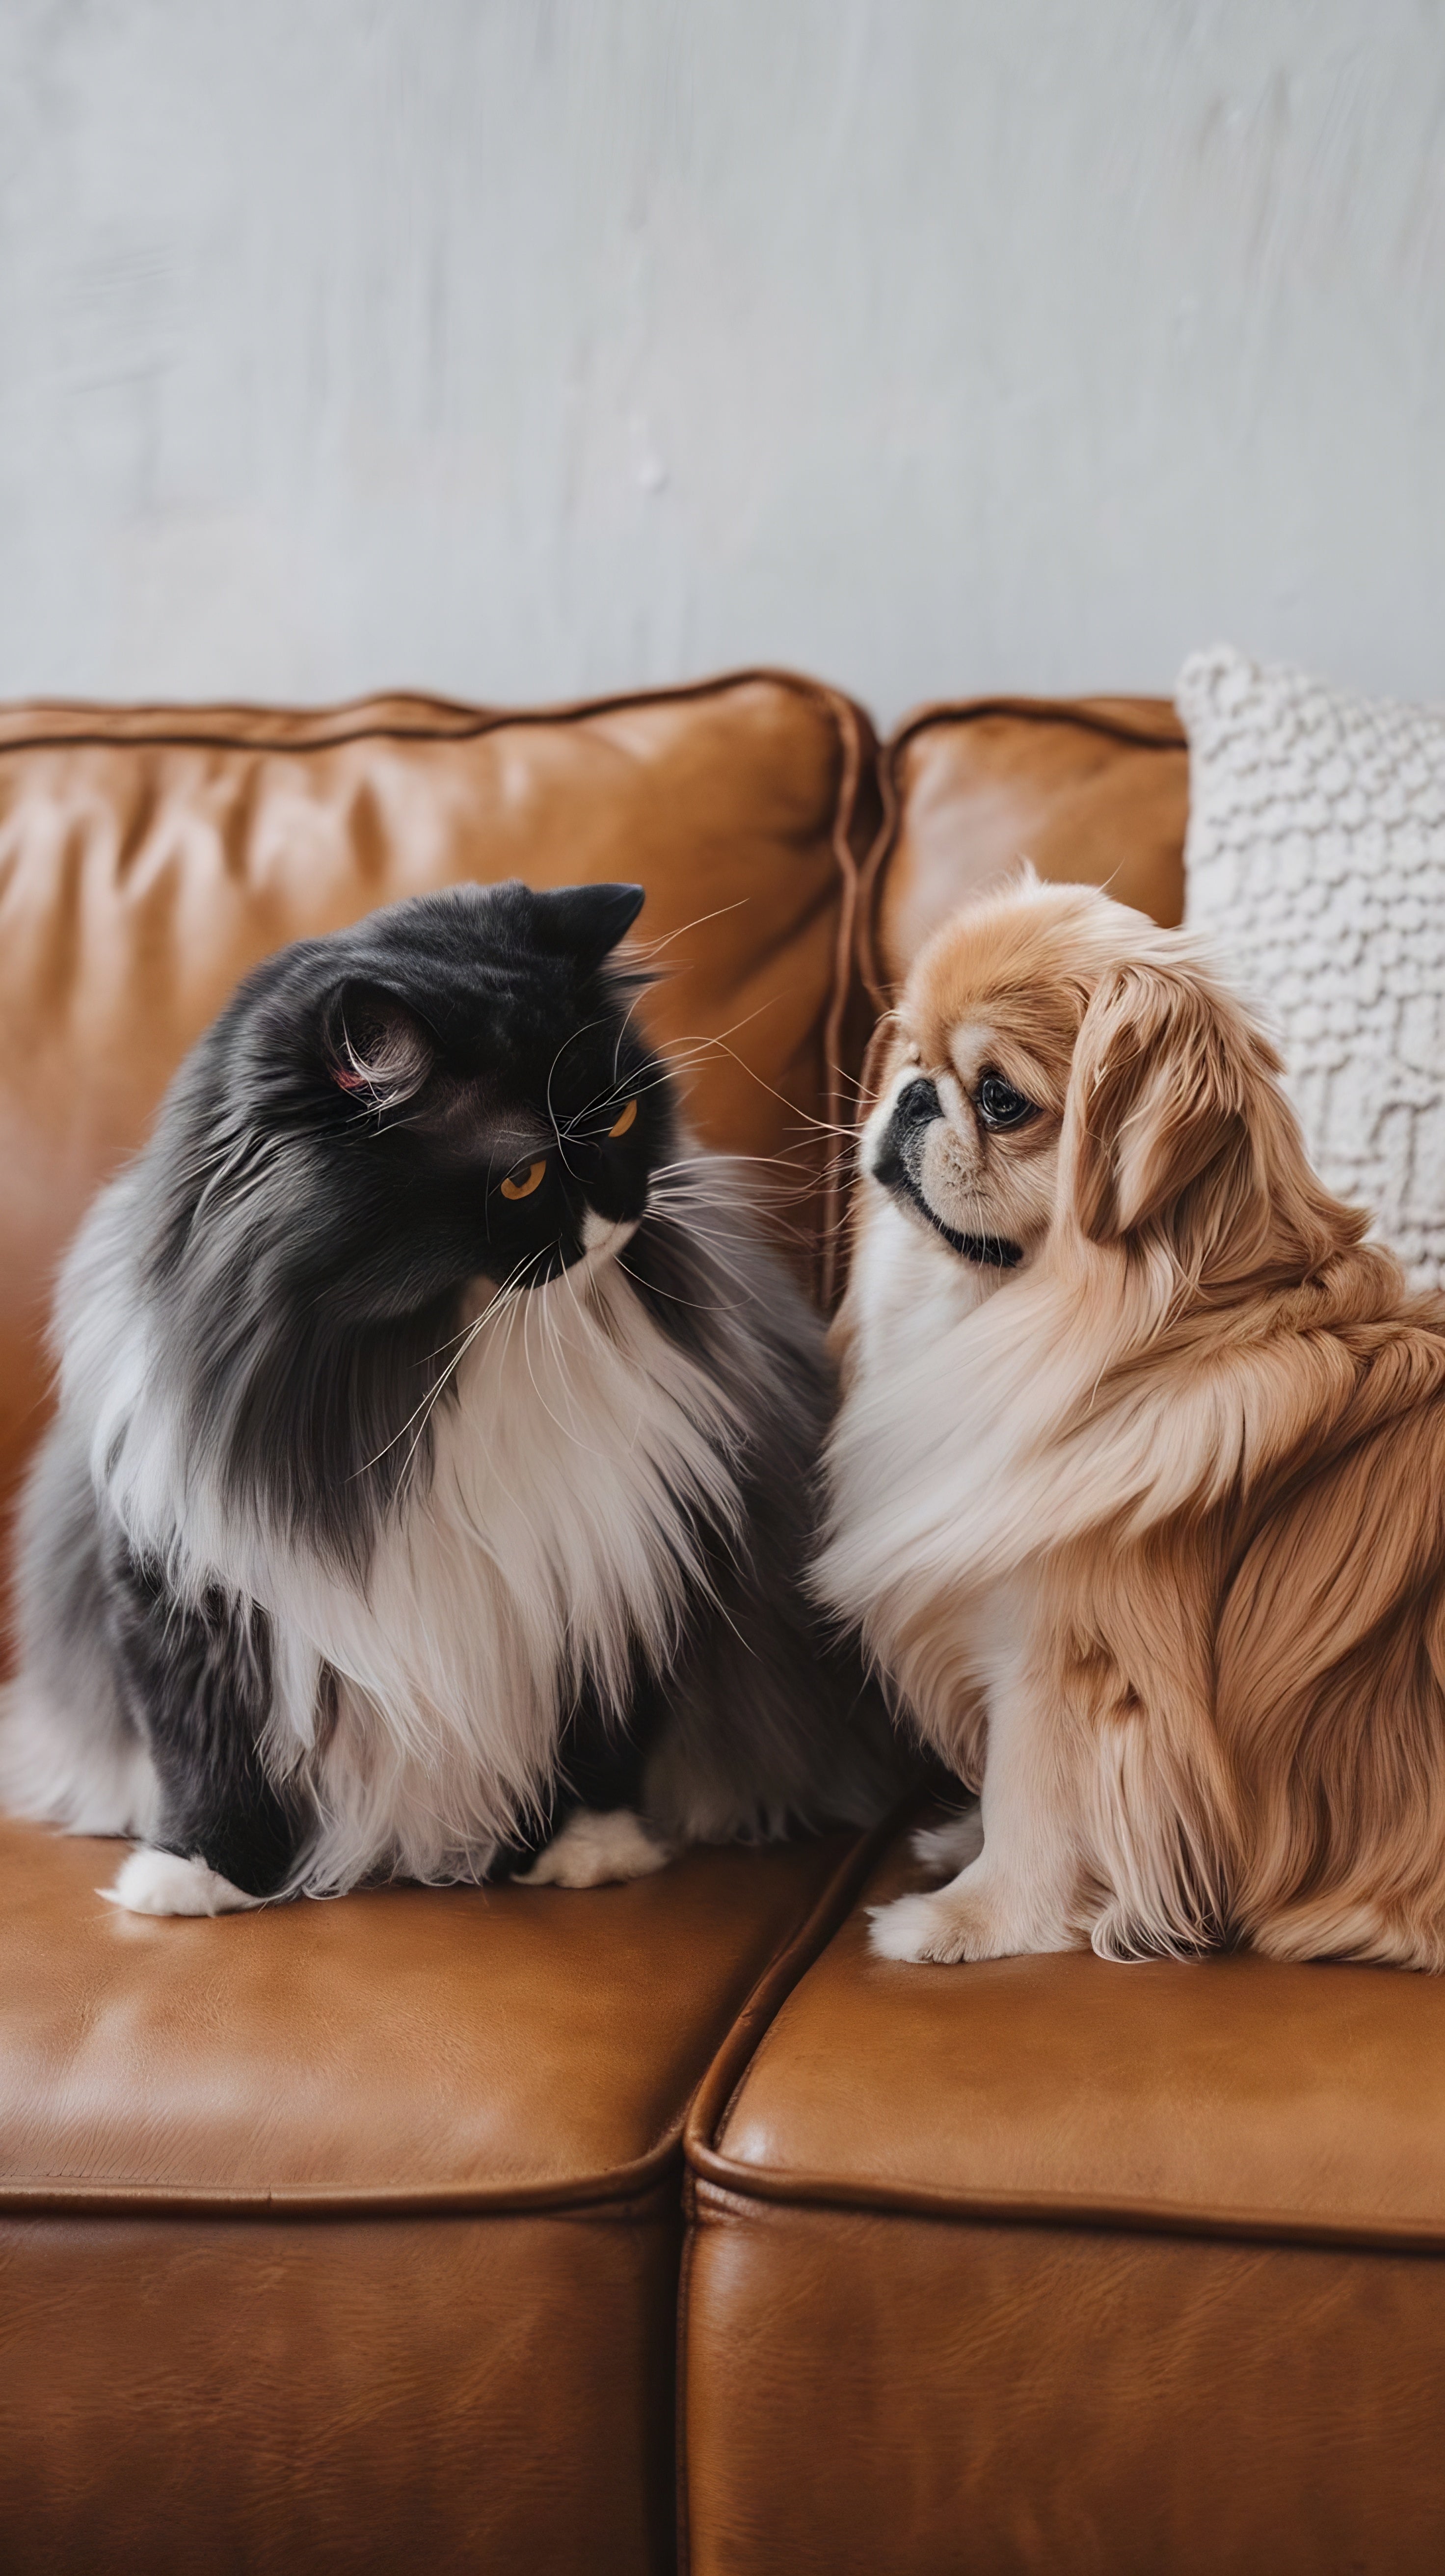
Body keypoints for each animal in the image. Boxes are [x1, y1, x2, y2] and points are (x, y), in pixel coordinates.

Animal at [5, 886, 896, 1916]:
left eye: (624, 1118)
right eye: (522, 1177)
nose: (620, 1211)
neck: (453, 1350)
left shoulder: (627, 1552)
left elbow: (602, 1734)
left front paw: (587, 1850)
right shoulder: (180, 1578)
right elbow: (202, 1744)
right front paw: (196, 1872)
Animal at [819, 870, 1445, 1968]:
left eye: (998, 1098)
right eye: (909, 1054)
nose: (910, 1095)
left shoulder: (1064, 1660)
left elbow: (1031, 1806)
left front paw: (958, 1920)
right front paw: (954, 1842)